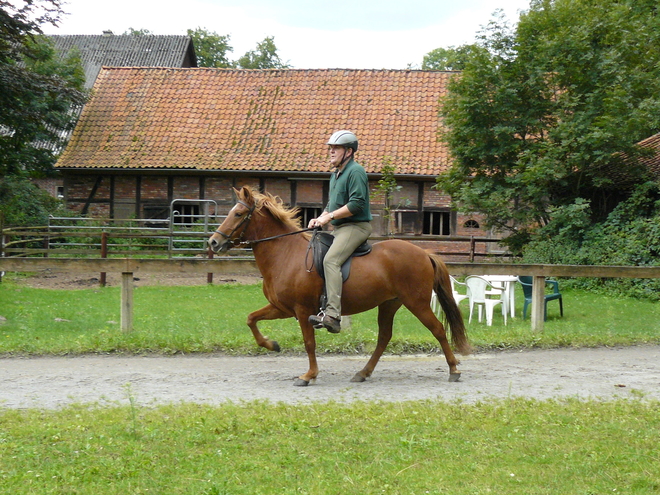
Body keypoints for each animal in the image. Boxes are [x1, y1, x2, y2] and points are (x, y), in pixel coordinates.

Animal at [208, 187, 470, 388]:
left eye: (238, 213)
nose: (213, 242)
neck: (285, 253)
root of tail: (424, 253)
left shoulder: (302, 310)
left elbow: (309, 343)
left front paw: (308, 375)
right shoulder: (282, 308)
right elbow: (251, 319)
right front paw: (272, 345)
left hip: (416, 303)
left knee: (438, 330)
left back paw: (454, 370)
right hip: (389, 304)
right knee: (384, 337)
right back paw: (363, 373)